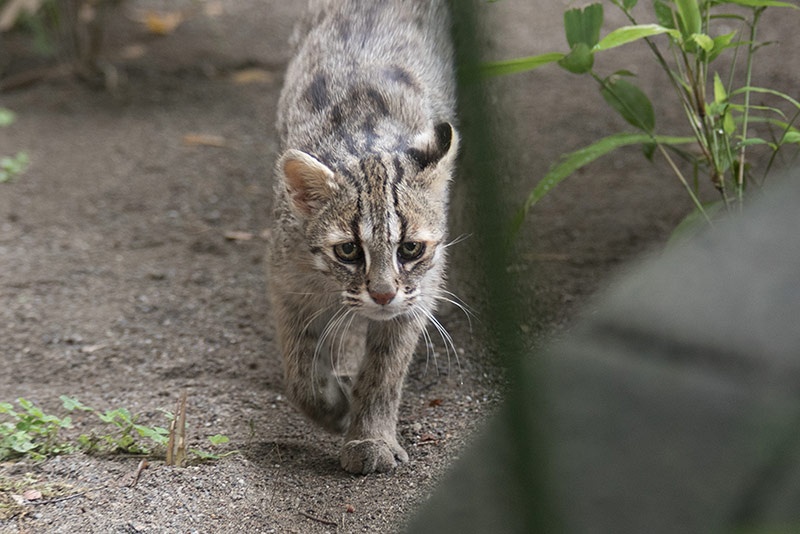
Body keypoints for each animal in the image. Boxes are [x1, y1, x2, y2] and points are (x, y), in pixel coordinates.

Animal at [268, 0, 456, 478]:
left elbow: (385, 370)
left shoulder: (419, 293)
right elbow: (299, 370)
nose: (383, 294)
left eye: (410, 248)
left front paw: (370, 437)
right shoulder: (286, 281)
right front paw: (332, 407)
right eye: (349, 250)